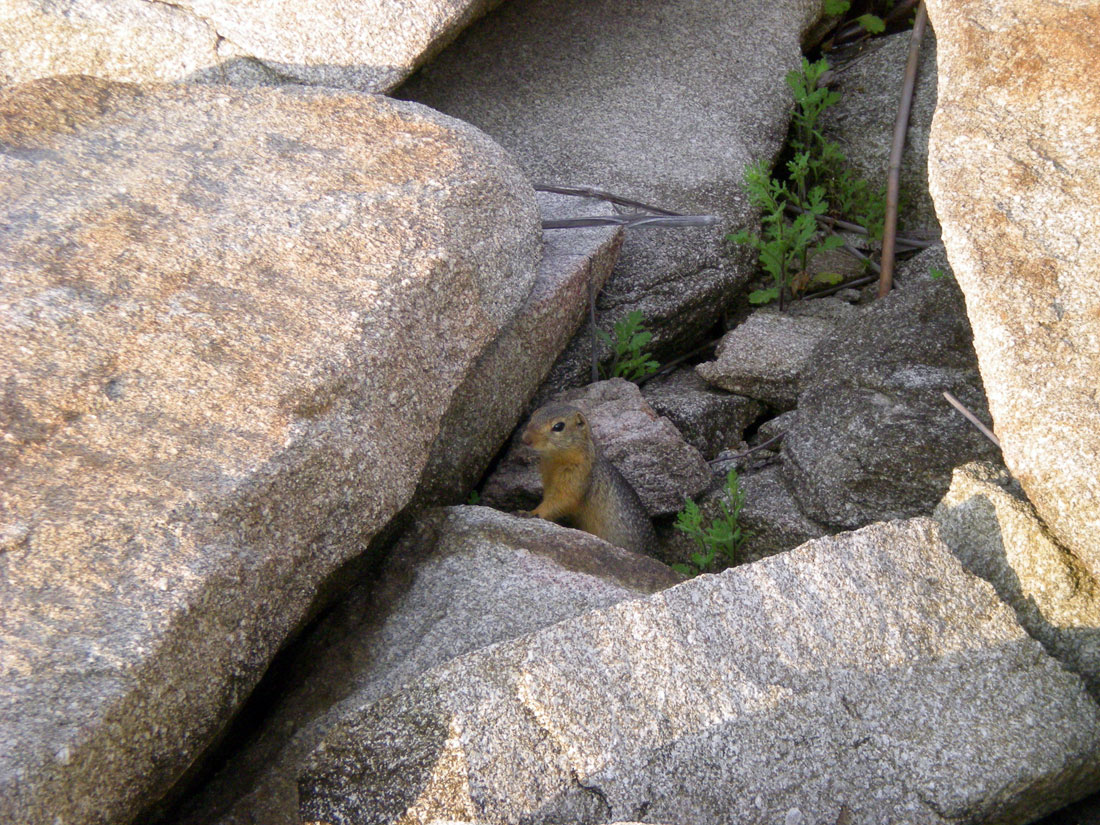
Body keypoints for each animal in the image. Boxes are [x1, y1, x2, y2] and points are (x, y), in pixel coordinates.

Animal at [519, 402, 655, 556]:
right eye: (532, 417)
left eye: (558, 426)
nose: (526, 439)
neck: (554, 461)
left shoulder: (576, 477)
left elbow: (560, 501)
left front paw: (530, 512)